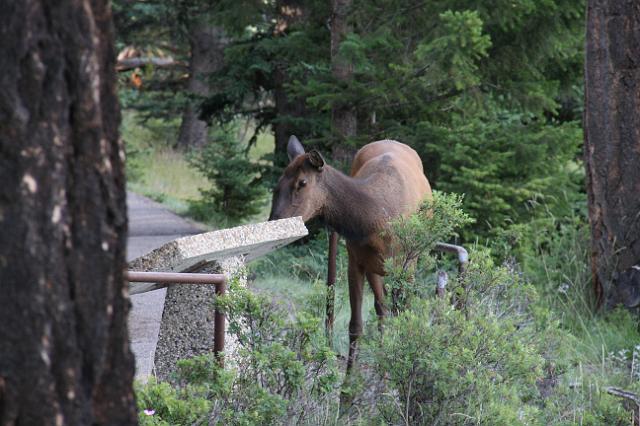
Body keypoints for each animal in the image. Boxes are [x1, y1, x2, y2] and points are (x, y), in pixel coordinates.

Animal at [268, 135, 432, 368]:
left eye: (302, 182)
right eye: (278, 183)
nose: (274, 222)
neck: (377, 221)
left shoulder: (406, 264)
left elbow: (403, 316)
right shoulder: (356, 262)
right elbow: (355, 326)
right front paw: (350, 377)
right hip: (373, 265)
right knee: (381, 307)